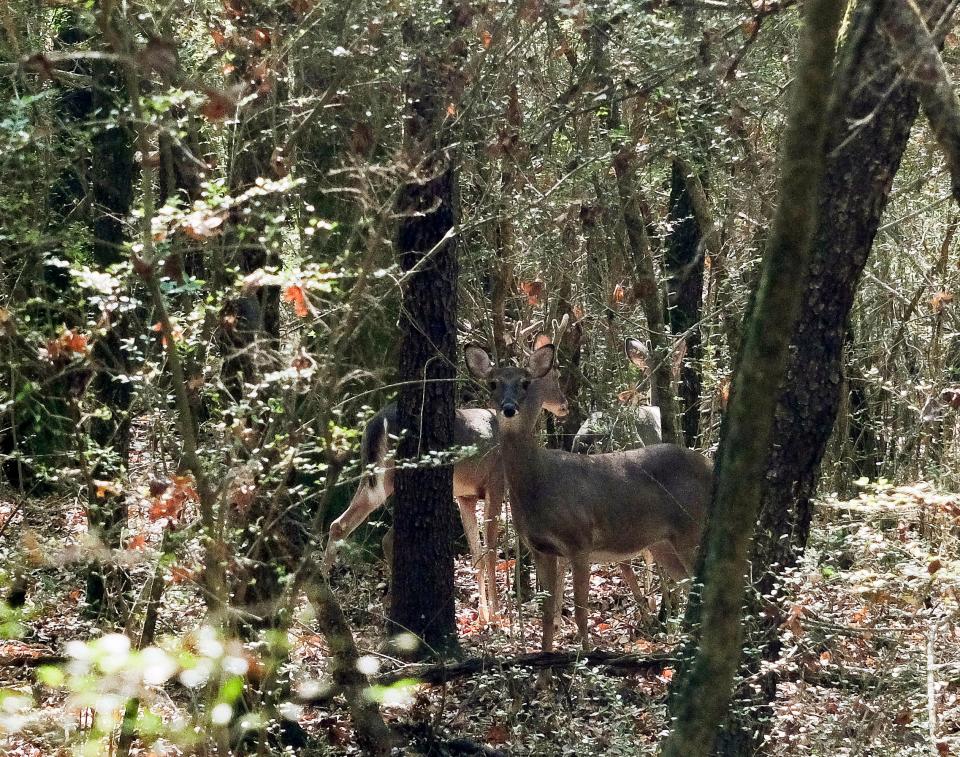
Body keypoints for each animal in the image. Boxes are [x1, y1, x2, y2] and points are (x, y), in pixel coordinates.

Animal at [320, 334, 568, 624]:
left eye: (524, 381)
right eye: (556, 374)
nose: (564, 404)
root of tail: (376, 422)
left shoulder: (465, 495)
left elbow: (475, 550)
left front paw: (483, 615)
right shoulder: (495, 483)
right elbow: (490, 548)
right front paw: (496, 616)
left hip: (373, 477)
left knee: (340, 524)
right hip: (397, 473)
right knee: (386, 537)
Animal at [464, 340, 712, 652]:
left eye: (525, 382)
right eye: (493, 383)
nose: (509, 408)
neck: (539, 480)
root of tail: (710, 466)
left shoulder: (579, 541)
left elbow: (581, 610)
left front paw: (586, 655)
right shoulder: (540, 548)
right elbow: (548, 613)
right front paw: (546, 662)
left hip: (691, 528)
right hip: (663, 543)